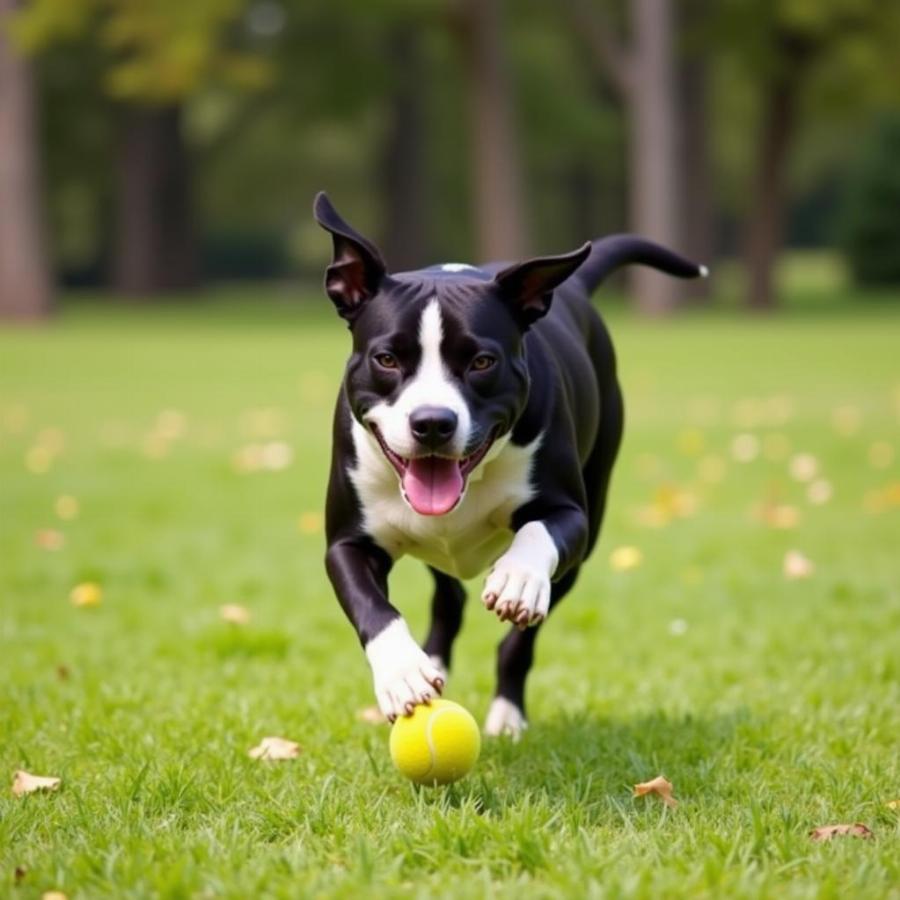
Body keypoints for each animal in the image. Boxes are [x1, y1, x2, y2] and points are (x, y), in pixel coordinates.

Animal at [314, 192, 704, 740]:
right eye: (387, 359)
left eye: (482, 362)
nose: (432, 422)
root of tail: (573, 284)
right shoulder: (348, 542)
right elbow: (374, 606)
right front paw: (403, 672)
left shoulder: (571, 517)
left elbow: (539, 533)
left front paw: (517, 578)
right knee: (448, 601)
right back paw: (432, 662)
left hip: (582, 545)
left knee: (518, 640)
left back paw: (506, 713)